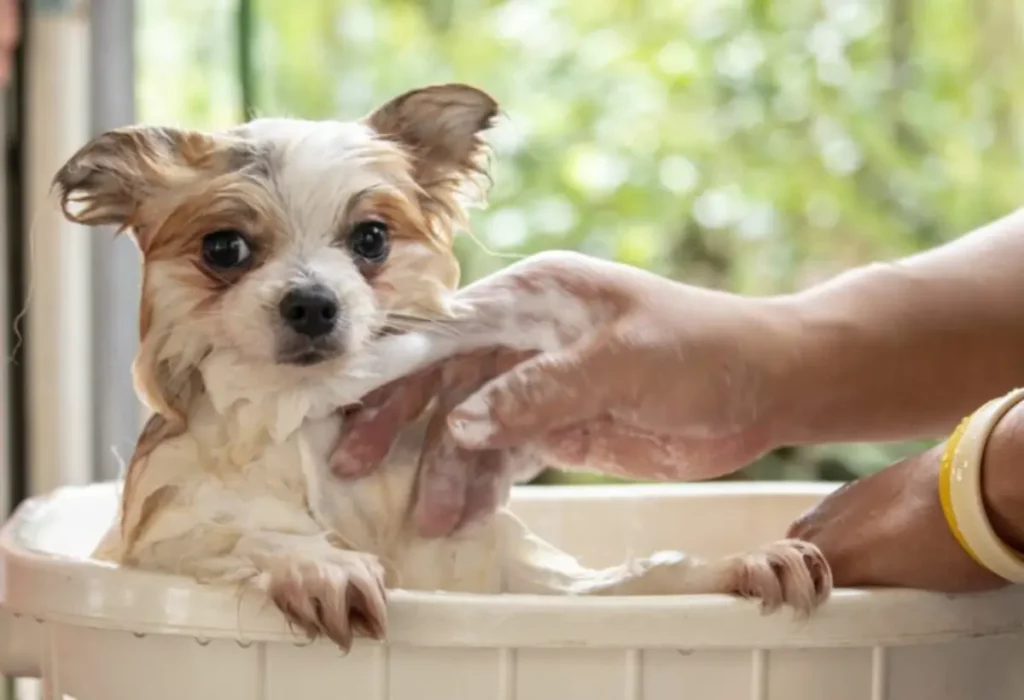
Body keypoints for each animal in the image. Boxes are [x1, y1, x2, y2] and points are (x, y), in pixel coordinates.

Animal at [51, 84, 827, 654]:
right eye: (224, 248)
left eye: (371, 239)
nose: (312, 302)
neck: (301, 419)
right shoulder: (154, 544)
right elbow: (237, 533)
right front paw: (318, 563)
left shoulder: (490, 572)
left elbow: (619, 584)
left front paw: (738, 566)